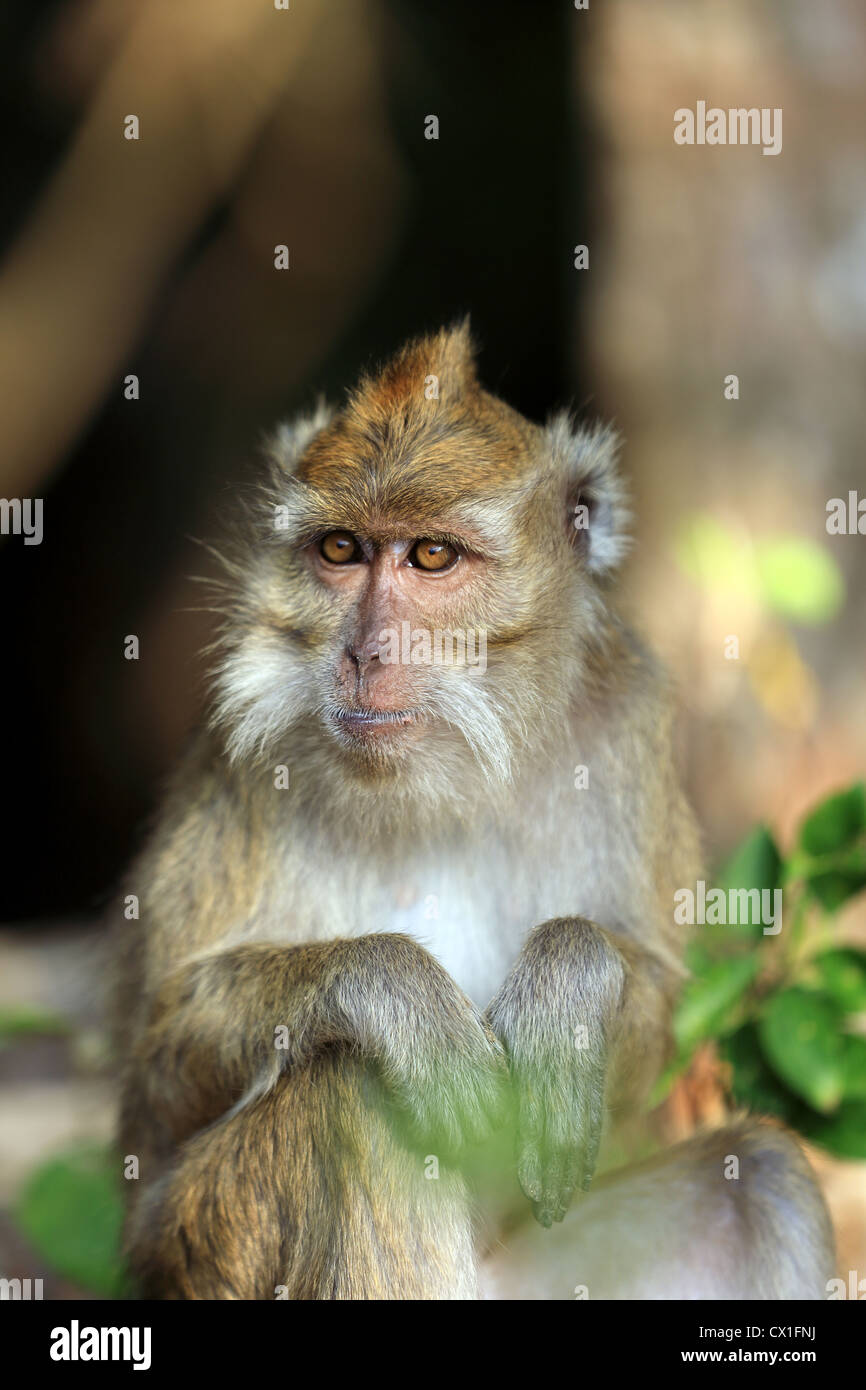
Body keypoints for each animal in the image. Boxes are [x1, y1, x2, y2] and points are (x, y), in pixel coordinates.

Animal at [113, 321, 834, 1300]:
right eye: (339, 550)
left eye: (431, 557)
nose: (364, 653)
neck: (439, 775)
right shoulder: (238, 755)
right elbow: (159, 1063)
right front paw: (391, 989)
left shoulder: (626, 712)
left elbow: (658, 1010)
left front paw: (569, 990)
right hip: (199, 1251)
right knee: (350, 1098)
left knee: (762, 1176)